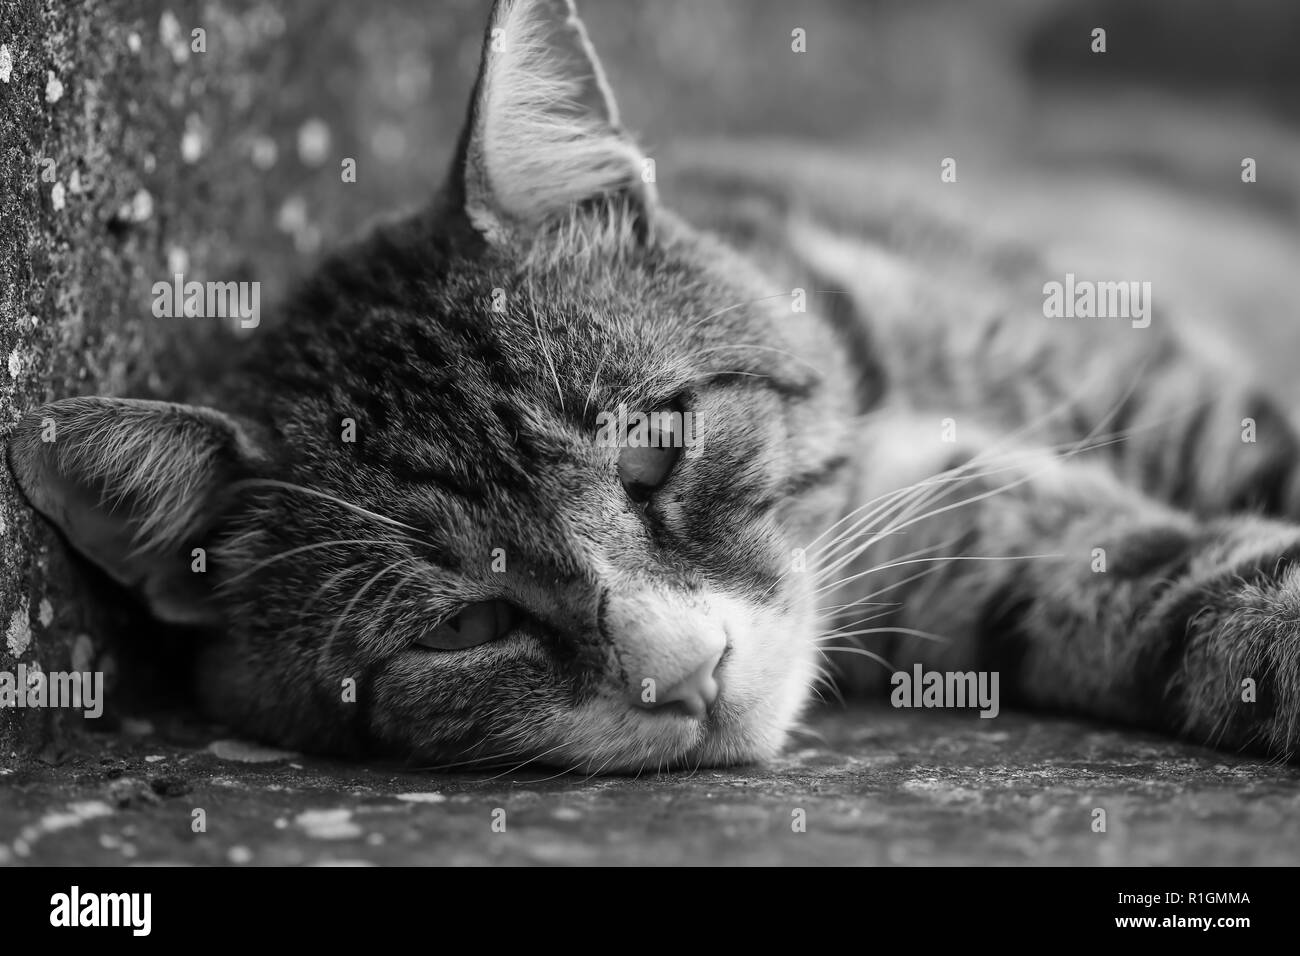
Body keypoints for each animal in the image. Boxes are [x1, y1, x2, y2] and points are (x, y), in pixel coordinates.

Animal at [7, 0, 1300, 770]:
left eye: (651, 449)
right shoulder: (989, 550)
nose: (687, 672)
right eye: (465, 624)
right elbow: (1191, 600)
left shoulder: (1161, 385)